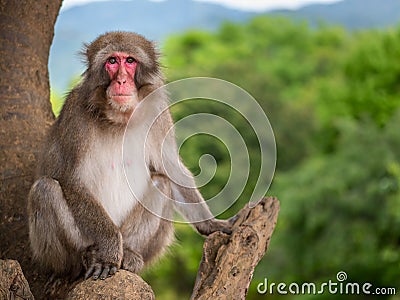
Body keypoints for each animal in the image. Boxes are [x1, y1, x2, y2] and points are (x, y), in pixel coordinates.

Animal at [28, 31, 231, 282]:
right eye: (112, 61)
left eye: (130, 61)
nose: (121, 81)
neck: (119, 118)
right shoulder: (74, 115)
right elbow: (71, 180)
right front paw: (109, 250)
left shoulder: (159, 114)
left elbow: (171, 168)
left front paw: (211, 224)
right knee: (45, 189)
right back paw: (86, 257)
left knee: (162, 182)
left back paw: (130, 253)